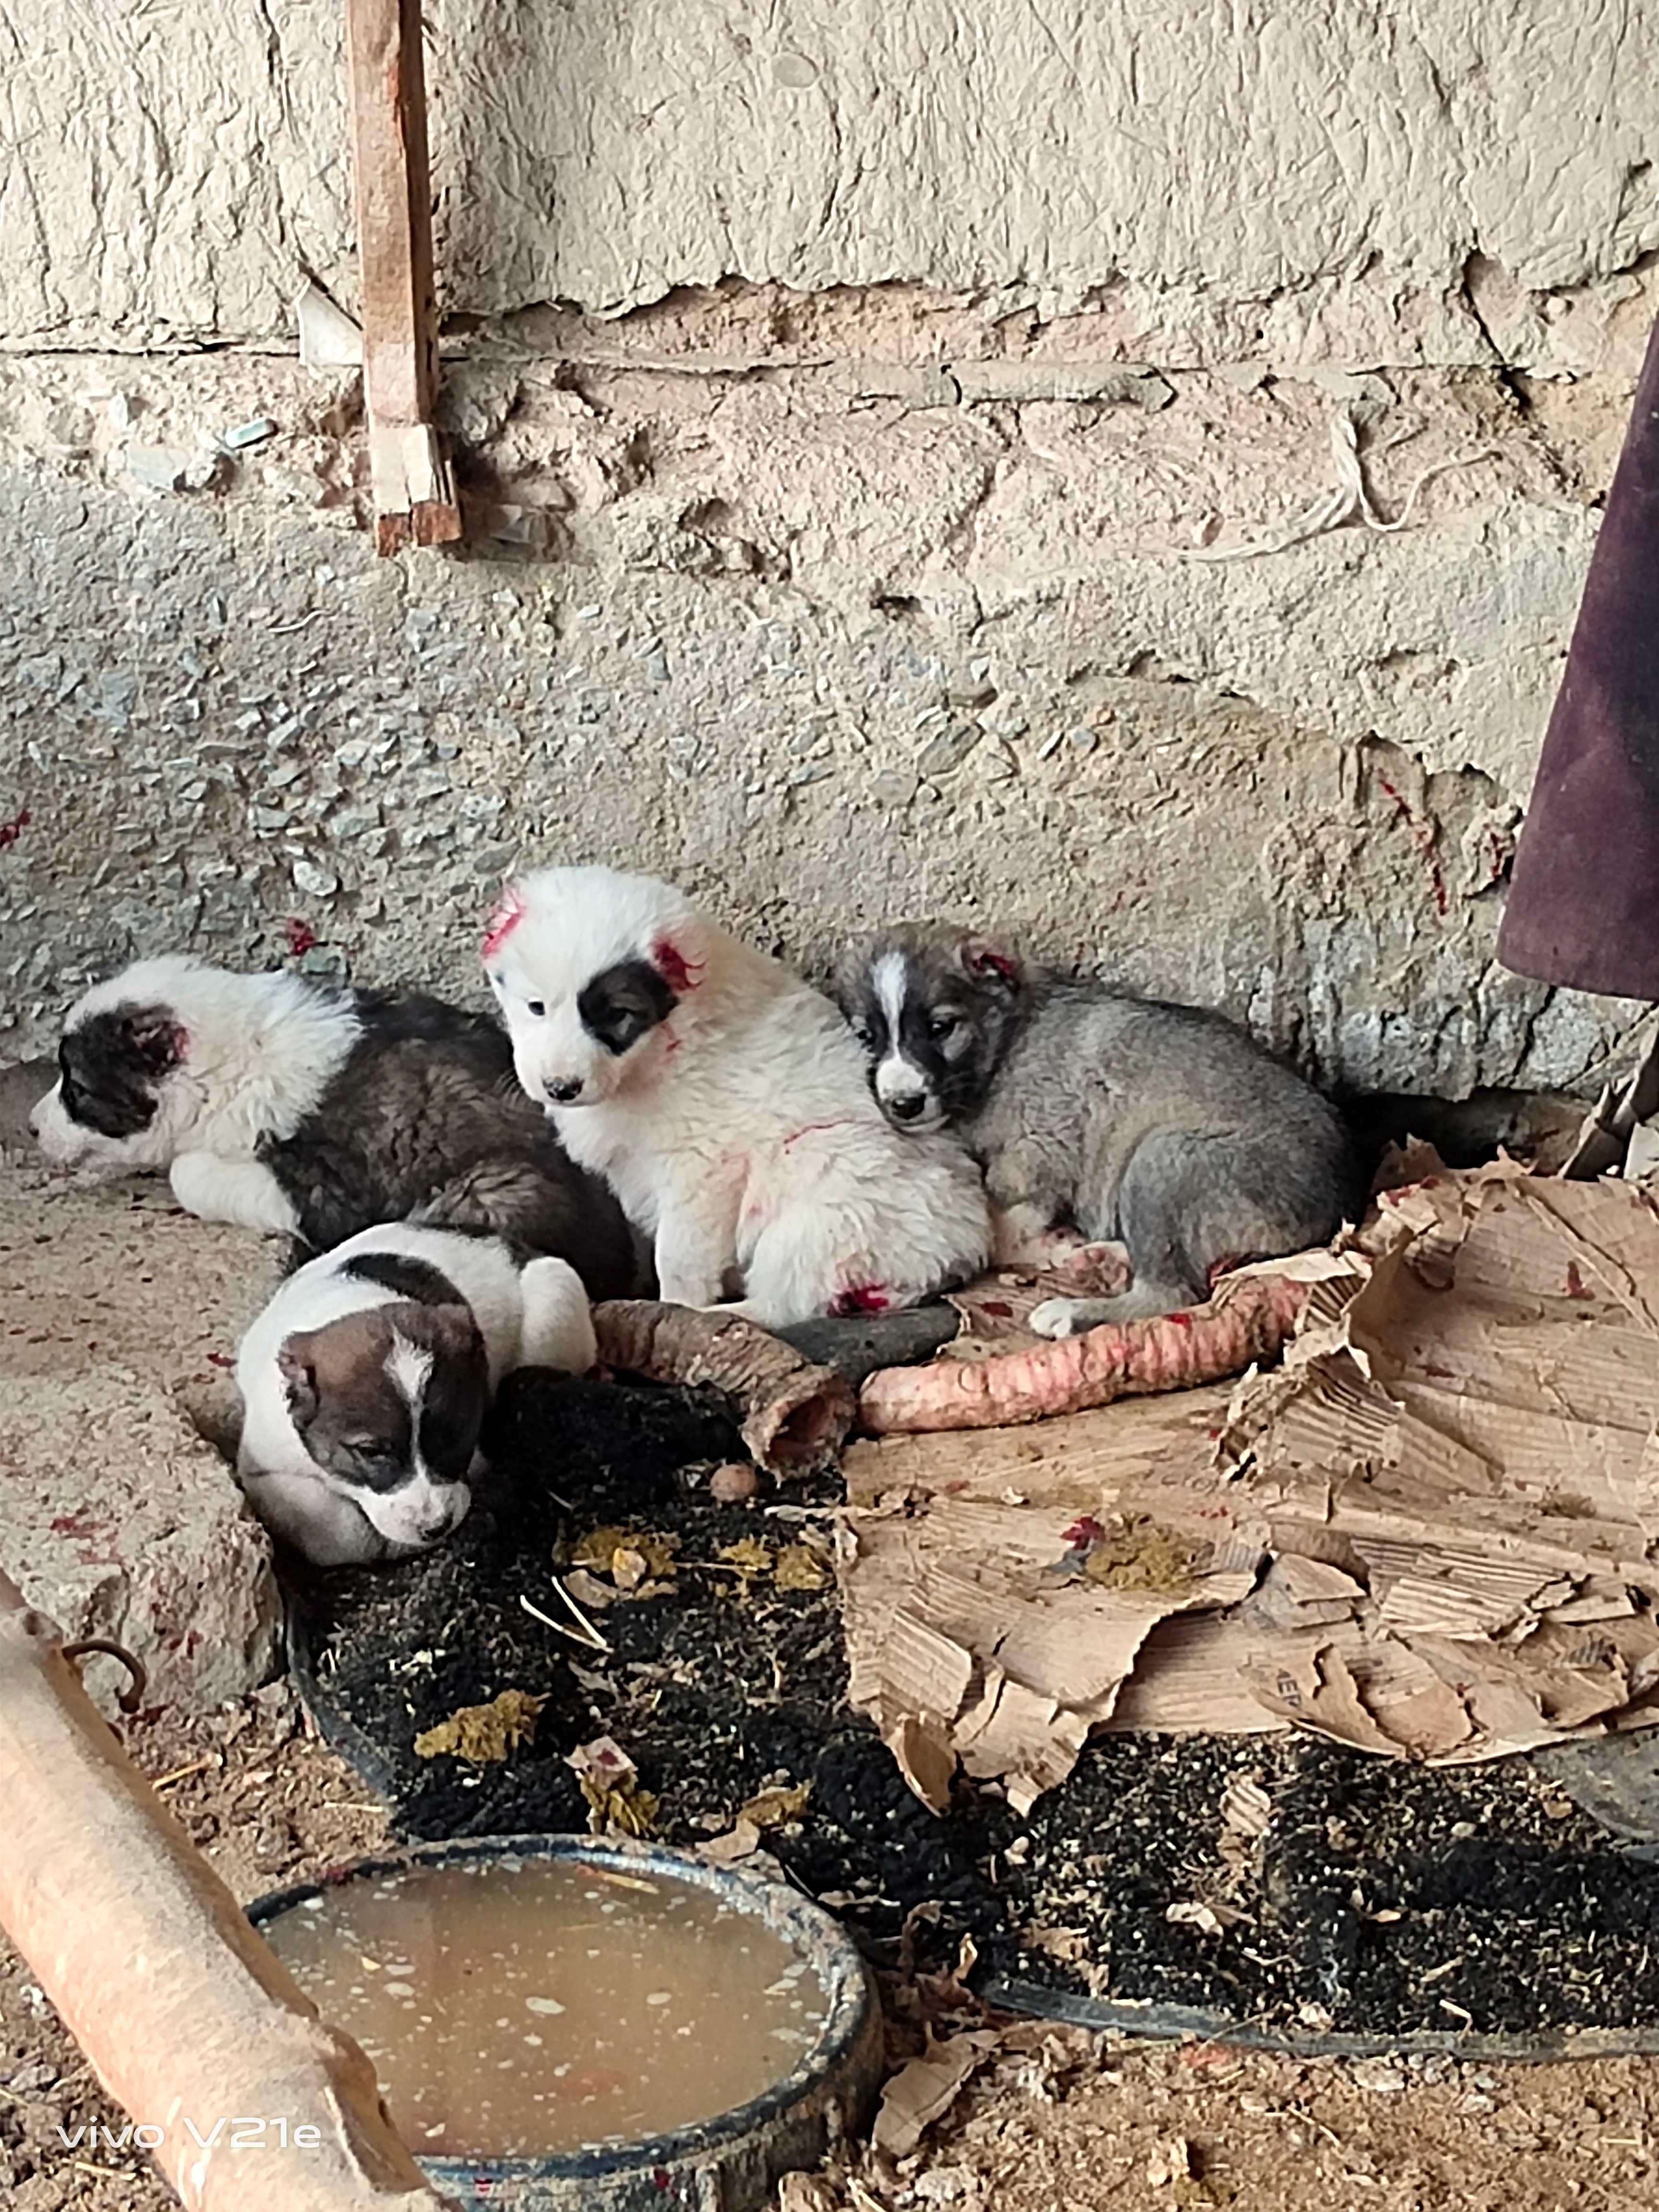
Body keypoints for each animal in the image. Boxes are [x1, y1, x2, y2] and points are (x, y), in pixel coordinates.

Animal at [34, 955, 641, 1292]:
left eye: (77, 1088)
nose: (31, 1128)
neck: (233, 1057)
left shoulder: (327, 1190)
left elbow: (189, 1171)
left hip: (492, 1190)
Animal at [232, 1221, 597, 1566]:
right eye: (370, 1452)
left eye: (458, 1434)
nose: (436, 1528)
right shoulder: (263, 1474)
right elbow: (337, 1527)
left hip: (552, 1308)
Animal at [486, 867, 995, 1327]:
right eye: (536, 1008)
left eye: (618, 1016)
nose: (561, 1087)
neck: (655, 1054)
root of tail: (966, 1244)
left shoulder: (701, 1172)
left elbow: (678, 1258)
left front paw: (676, 1307)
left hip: (818, 1196)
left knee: (789, 1303)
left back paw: (730, 1314)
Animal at [831, 925, 1362, 1336]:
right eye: (866, 1037)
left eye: (942, 1027)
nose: (904, 1104)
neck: (1007, 1046)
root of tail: (1337, 1202)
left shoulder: (1039, 1152)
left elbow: (996, 1221)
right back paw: (1101, 1258)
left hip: (1164, 1160)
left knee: (1170, 1294)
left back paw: (1075, 1308)